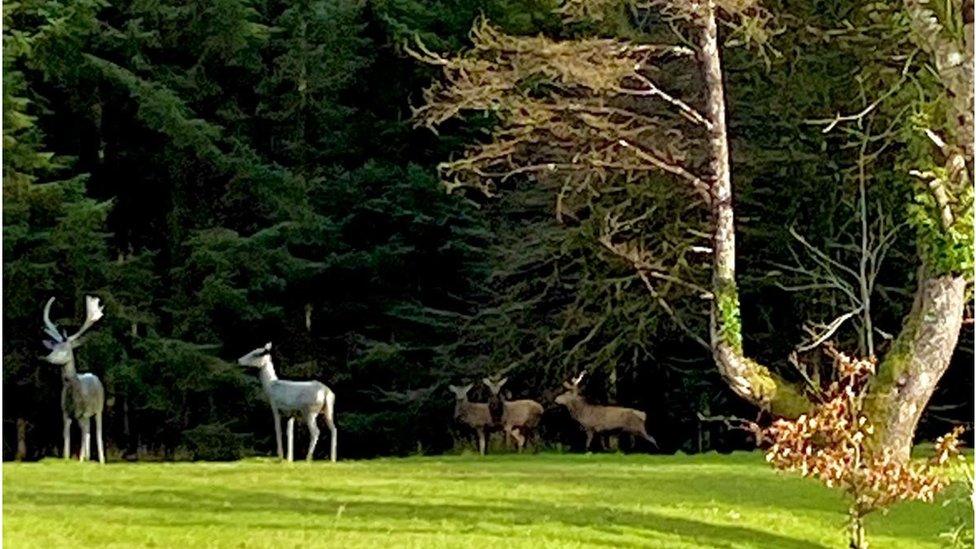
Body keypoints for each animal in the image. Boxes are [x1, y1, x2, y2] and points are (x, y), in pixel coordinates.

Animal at [41, 296, 106, 462]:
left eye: (65, 350)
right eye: (53, 348)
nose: (47, 359)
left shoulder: (83, 412)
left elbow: (82, 438)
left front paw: (81, 459)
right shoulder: (65, 413)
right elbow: (66, 437)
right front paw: (66, 458)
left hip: (98, 409)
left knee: (96, 431)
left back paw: (101, 460)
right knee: (88, 431)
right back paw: (89, 458)